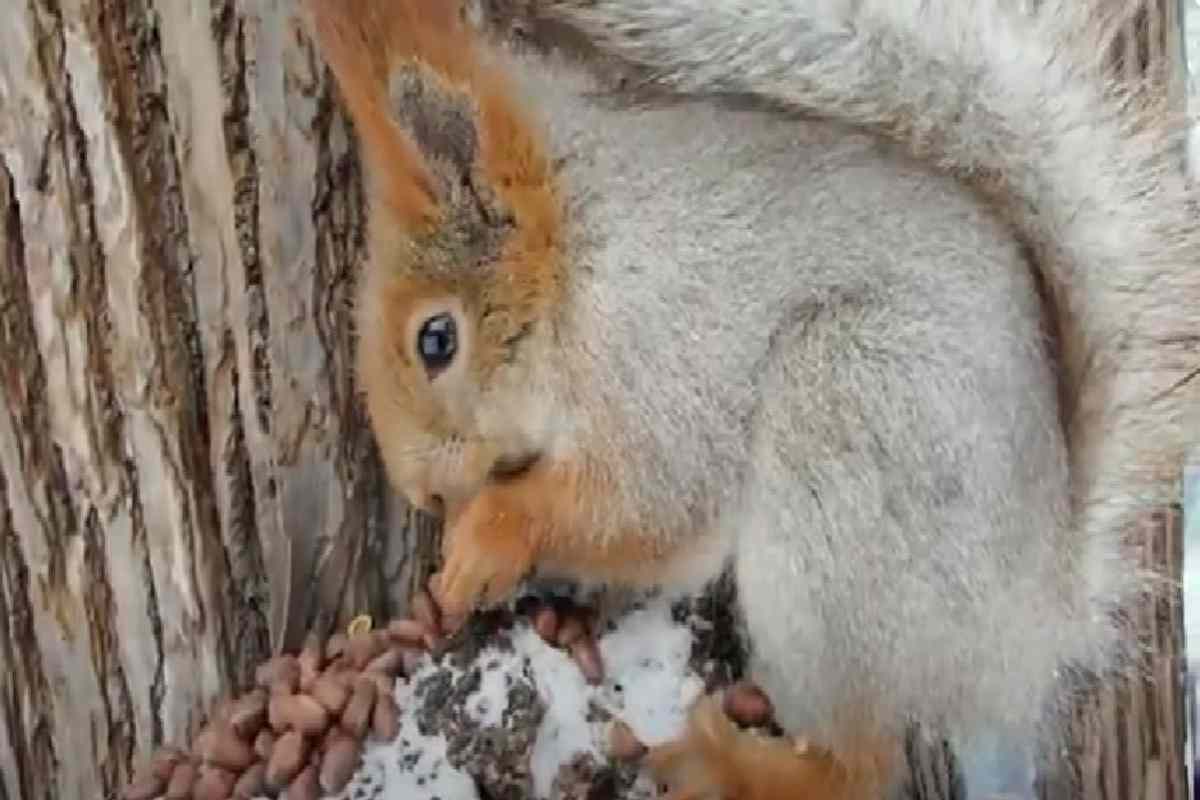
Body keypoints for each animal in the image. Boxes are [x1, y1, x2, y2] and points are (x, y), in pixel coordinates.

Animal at [305, 0, 1200, 797]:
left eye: (436, 340)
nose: (422, 492)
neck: (581, 257)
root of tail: (1033, 630)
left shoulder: (661, 350)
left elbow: (647, 505)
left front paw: (485, 538)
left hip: (847, 427)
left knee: (865, 770)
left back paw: (728, 767)